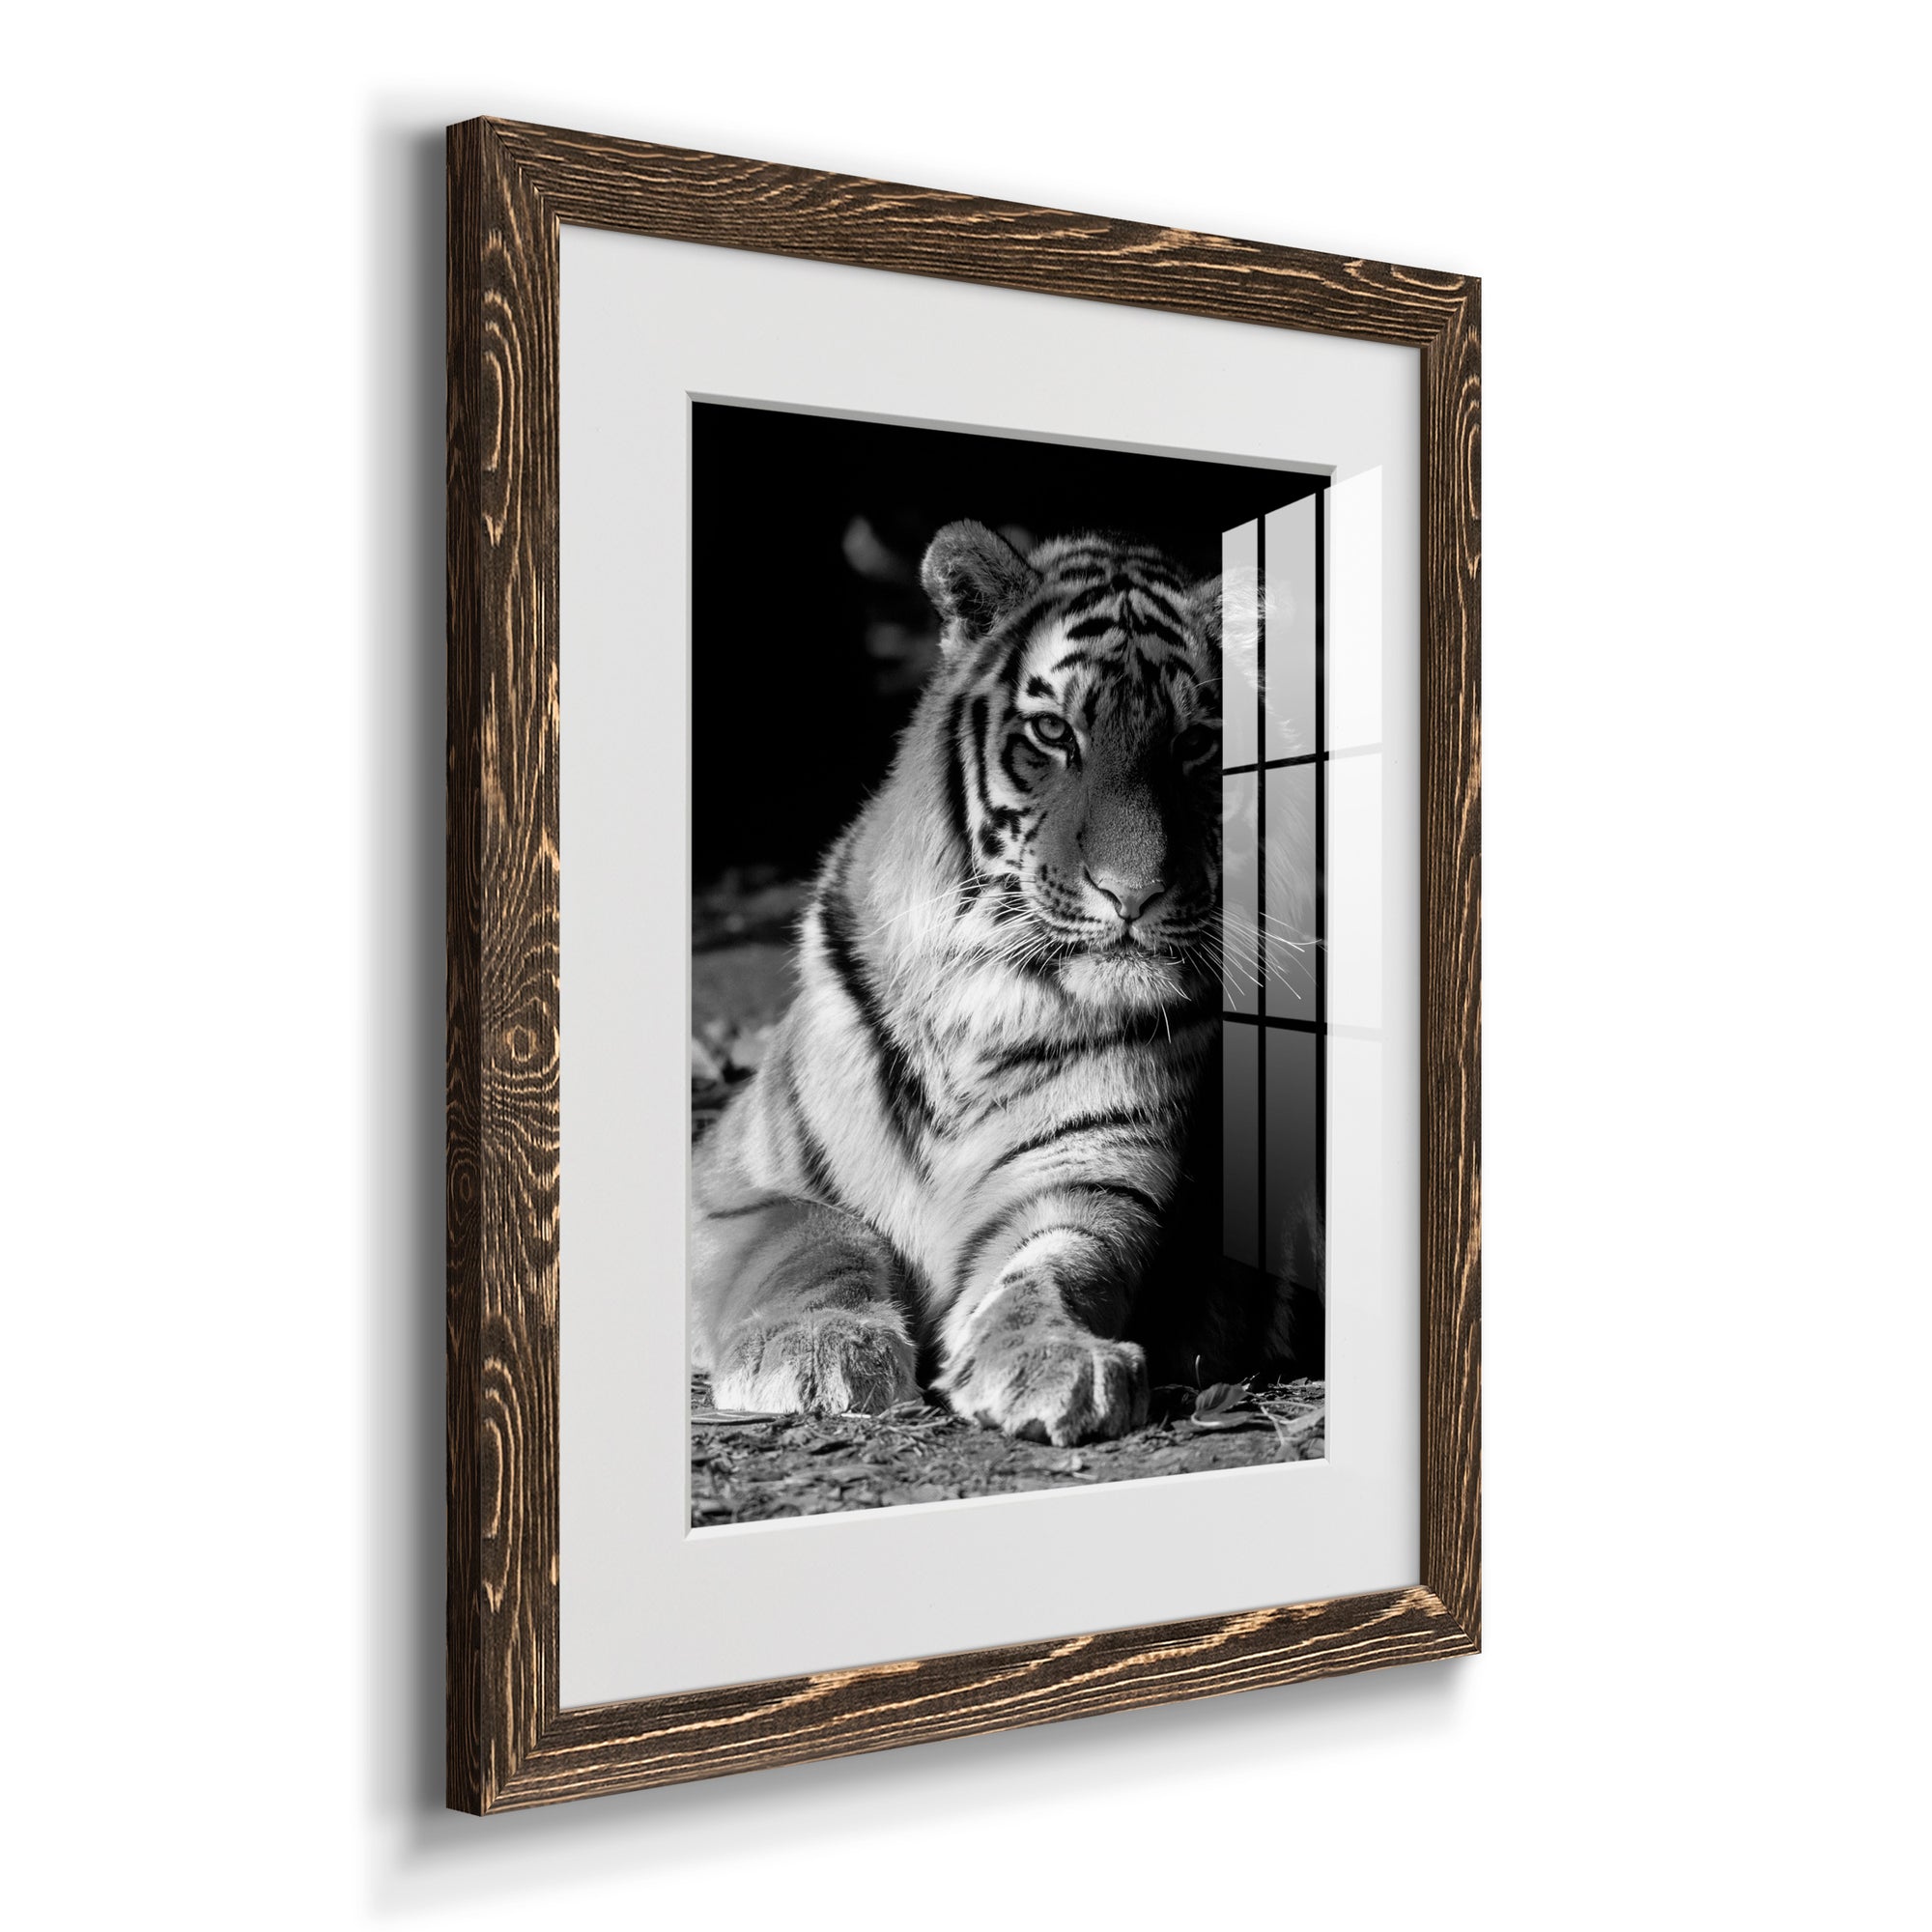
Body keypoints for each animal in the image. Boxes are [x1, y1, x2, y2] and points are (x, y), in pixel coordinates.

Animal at [690, 520, 1281, 1446]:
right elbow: (817, 1233)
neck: (989, 998)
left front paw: (1055, 1359)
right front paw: (817, 1350)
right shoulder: (729, 1185)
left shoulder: (1090, 1182)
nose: (1133, 894)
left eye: (1195, 744)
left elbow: (1054, 1268)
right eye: (1053, 732)